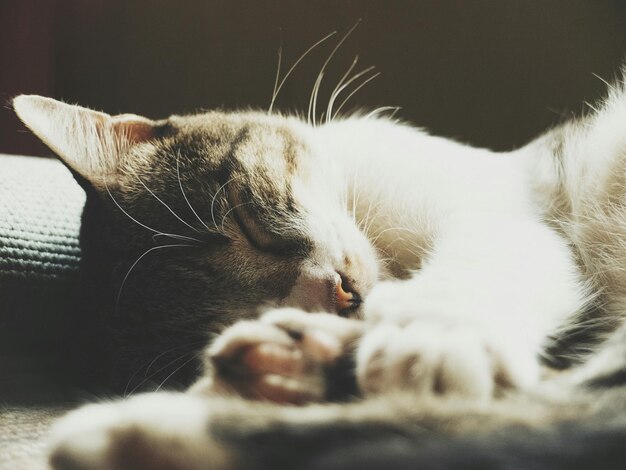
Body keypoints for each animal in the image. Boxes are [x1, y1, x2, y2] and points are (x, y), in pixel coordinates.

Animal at [11, 65, 626, 466]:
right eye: (241, 311)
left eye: (248, 225)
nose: (342, 294)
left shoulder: (501, 212)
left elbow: (474, 268)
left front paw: (431, 336)